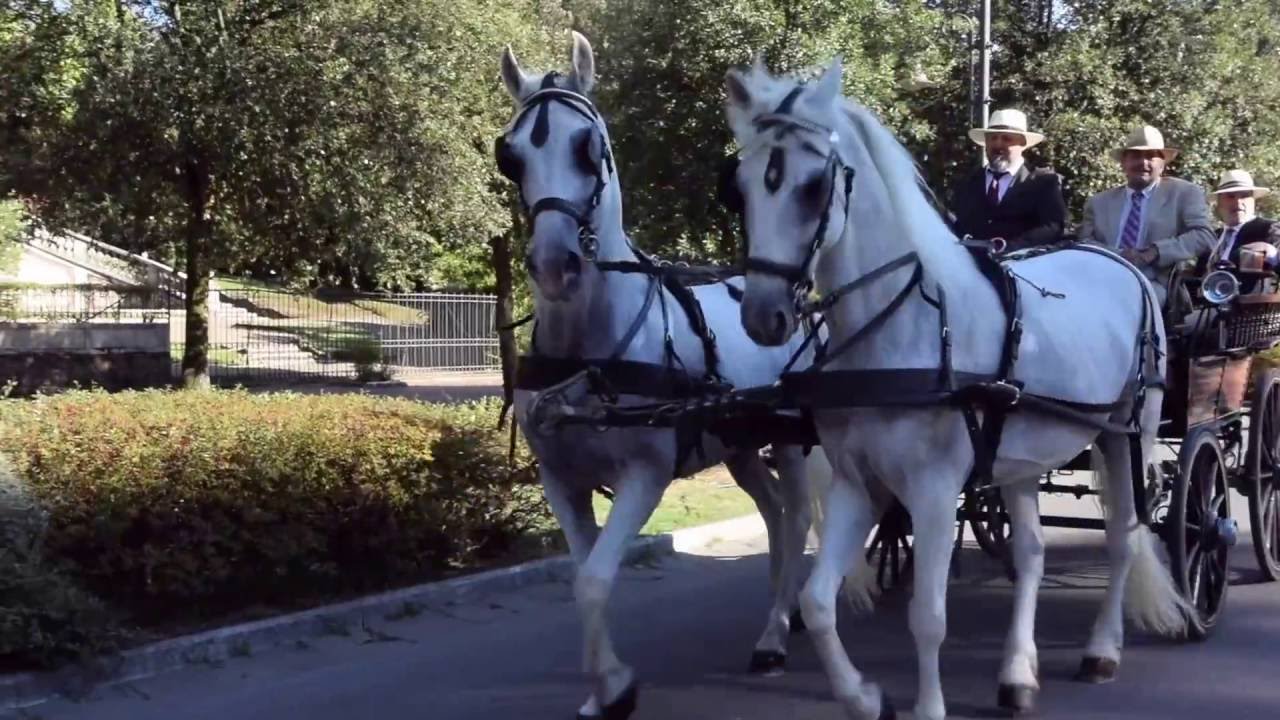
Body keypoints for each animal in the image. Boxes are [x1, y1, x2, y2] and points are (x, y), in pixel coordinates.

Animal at [495, 32, 844, 719]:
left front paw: (617, 689)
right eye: (512, 155)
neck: (588, 346)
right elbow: (582, 577)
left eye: (588, 146)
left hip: (792, 441)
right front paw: (603, 687)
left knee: (794, 519)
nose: (553, 264)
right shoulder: (561, 480)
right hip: (739, 446)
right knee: (772, 515)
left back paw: (774, 636)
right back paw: (777, 618)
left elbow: (596, 580)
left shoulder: (644, 475)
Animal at [720, 55, 1191, 720]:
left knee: (1124, 539)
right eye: (738, 188)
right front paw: (865, 697)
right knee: (1031, 555)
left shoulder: (937, 490)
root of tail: (1122, 263)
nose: (764, 317)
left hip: (1128, 434)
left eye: (812, 187)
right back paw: (1017, 674)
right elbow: (817, 601)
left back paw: (1102, 651)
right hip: (1022, 455)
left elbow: (928, 616)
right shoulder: (856, 483)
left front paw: (927, 706)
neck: (897, 330)